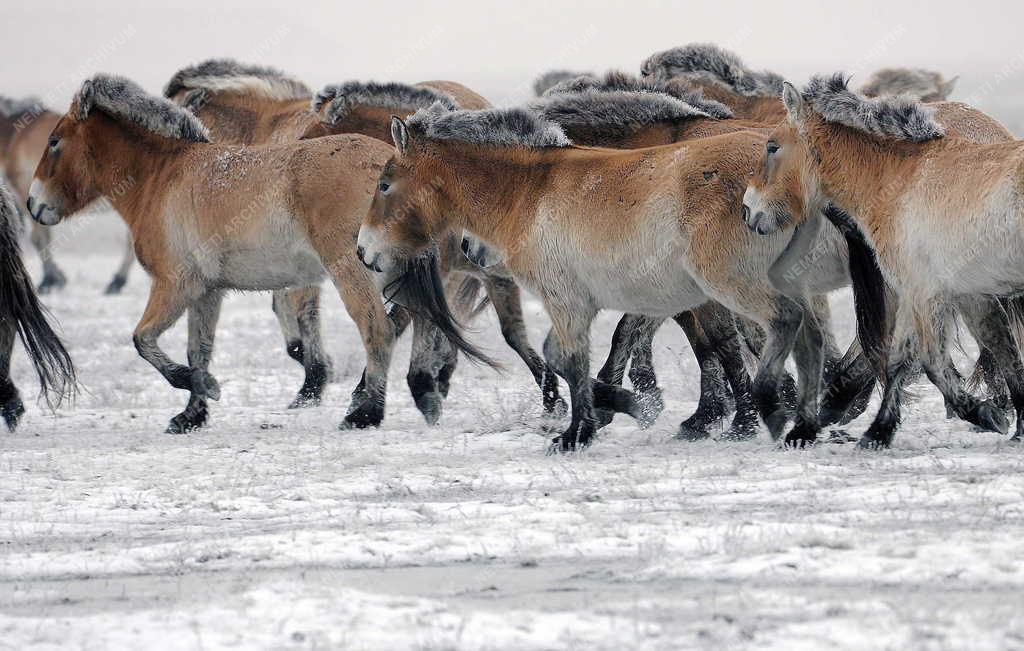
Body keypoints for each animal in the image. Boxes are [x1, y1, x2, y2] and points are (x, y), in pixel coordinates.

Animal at [24, 75, 399, 431]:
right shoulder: (207, 291)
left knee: (377, 330)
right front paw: (191, 415)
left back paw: (364, 414)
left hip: (352, 272)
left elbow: (143, 339)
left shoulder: (174, 285)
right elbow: (197, 350)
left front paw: (204, 387)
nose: (33, 203)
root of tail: (390, 166)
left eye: (54, 141)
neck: (161, 177)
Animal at [356, 105, 851, 452]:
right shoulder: (577, 303)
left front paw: (577, 432)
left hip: (733, 284)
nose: (363, 251)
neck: (530, 192)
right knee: (809, 339)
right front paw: (628, 407)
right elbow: (562, 357)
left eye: (384, 185)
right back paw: (804, 426)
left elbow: (571, 360)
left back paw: (775, 412)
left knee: (785, 323)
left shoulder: (566, 302)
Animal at [741, 72, 1024, 448]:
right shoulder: (959, 295)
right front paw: (879, 431)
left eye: (772, 146)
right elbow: (908, 360)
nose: (748, 210)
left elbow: (932, 363)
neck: (902, 179)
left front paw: (986, 415)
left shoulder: (924, 293)